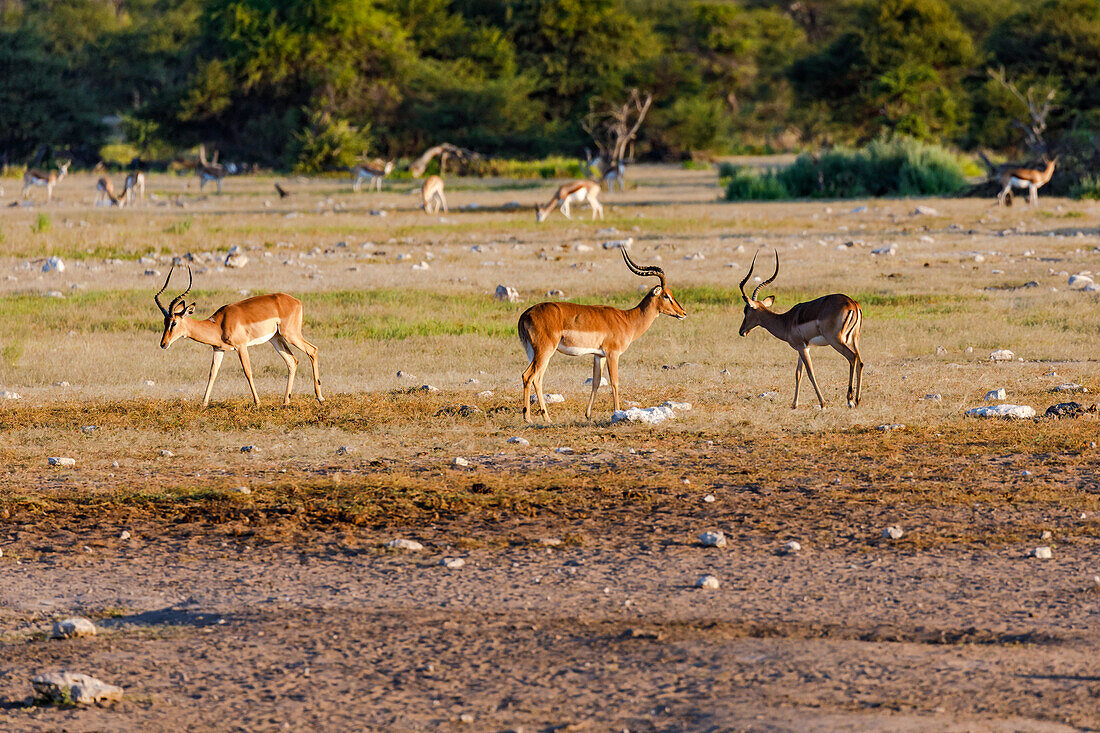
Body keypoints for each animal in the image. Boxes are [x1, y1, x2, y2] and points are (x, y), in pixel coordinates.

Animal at [157, 263, 323, 405]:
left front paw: (257, 402)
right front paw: (203, 404)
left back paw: (320, 397)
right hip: (276, 339)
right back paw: (285, 402)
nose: (163, 344)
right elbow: (212, 373)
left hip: (291, 335)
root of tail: (297, 301)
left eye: (174, 323)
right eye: (165, 322)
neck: (218, 325)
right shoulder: (218, 349)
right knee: (292, 361)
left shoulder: (241, 346)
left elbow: (247, 371)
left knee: (313, 350)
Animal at [517, 246, 686, 422]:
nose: (683, 313)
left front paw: (588, 414)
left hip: (538, 353)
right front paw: (617, 412)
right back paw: (527, 418)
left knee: (537, 379)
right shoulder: (613, 354)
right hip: (544, 351)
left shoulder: (599, 355)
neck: (627, 320)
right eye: (666, 295)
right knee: (527, 376)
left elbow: (596, 382)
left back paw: (546, 418)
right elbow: (615, 382)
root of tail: (525, 315)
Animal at [734, 249, 862, 411]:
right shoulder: (804, 347)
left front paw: (823, 403)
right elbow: (798, 373)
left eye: (746, 310)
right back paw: (857, 399)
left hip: (836, 340)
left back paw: (850, 400)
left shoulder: (801, 347)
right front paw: (794, 404)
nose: (741, 331)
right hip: (854, 339)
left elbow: (810, 373)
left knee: (852, 357)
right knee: (860, 362)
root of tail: (852, 303)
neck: (786, 321)